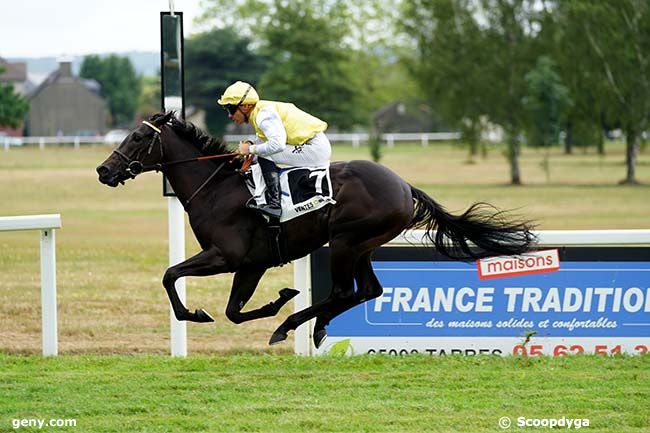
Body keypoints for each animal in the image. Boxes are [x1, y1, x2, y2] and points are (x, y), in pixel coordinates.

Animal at [96, 112, 532, 348]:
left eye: (138, 137)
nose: (103, 170)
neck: (217, 188)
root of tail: (404, 185)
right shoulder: (251, 264)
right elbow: (233, 311)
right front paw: (276, 300)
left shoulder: (227, 256)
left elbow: (171, 275)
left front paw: (197, 313)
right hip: (362, 246)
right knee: (367, 290)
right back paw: (316, 326)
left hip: (344, 241)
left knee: (343, 291)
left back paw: (294, 325)